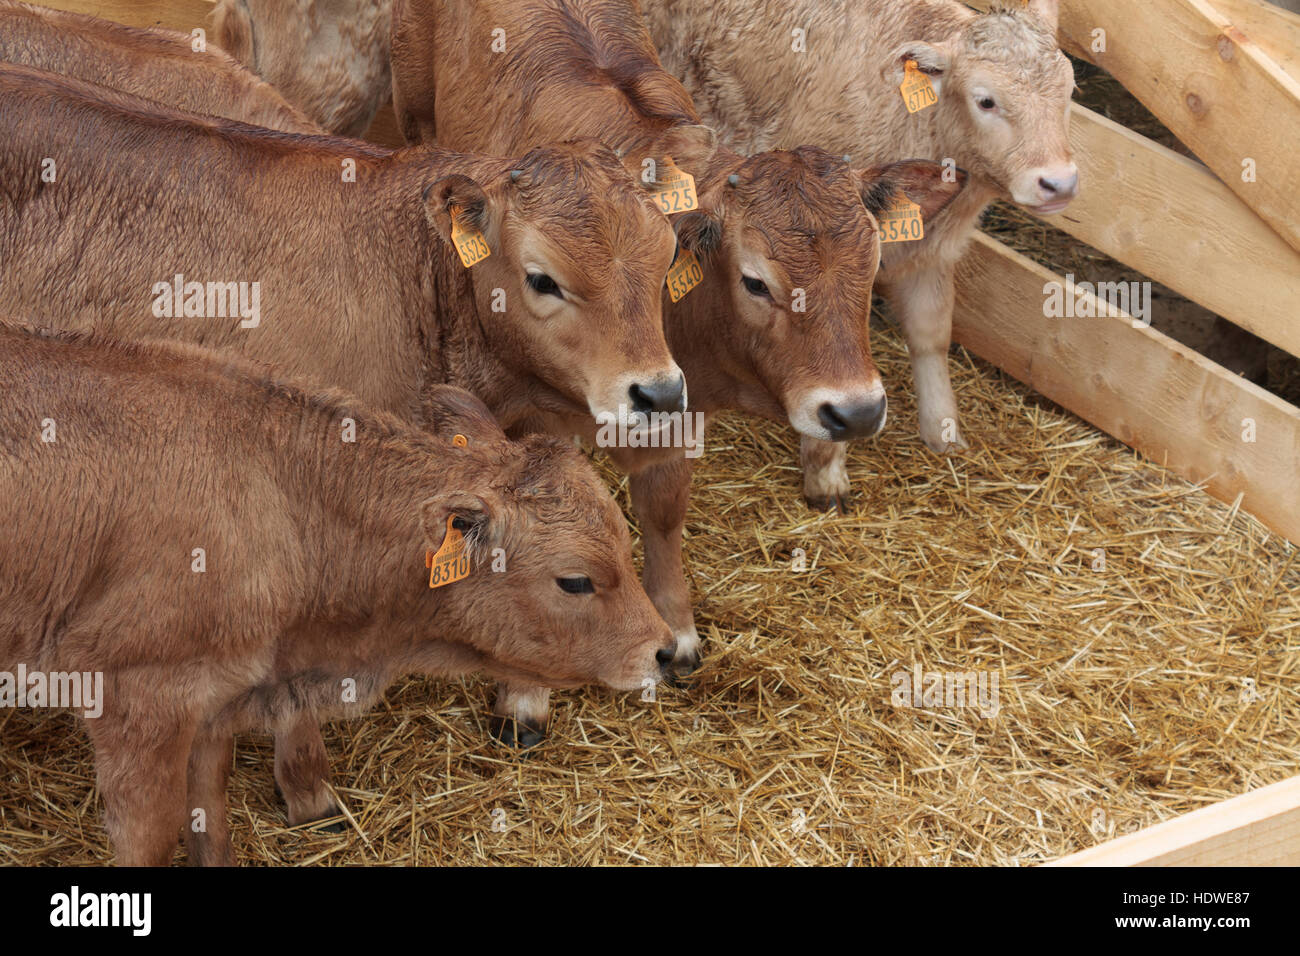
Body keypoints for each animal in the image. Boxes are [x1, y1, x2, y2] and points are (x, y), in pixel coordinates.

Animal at [0, 323, 670, 868]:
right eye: (576, 580)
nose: (663, 652)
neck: (279, 493)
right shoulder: (137, 704)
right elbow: (151, 840)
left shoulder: (212, 704)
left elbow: (210, 819)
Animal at [390, 0, 972, 738]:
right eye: (756, 281)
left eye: (872, 269)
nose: (858, 410)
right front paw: (524, 693)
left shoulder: (674, 410)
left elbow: (664, 512)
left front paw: (679, 628)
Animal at [647, 0, 1076, 476]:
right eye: (986, 100)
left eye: (1070, 91)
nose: (1059, 182)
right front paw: (826, 468)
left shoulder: (928, 255)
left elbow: (931, 334)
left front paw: (943, 430)